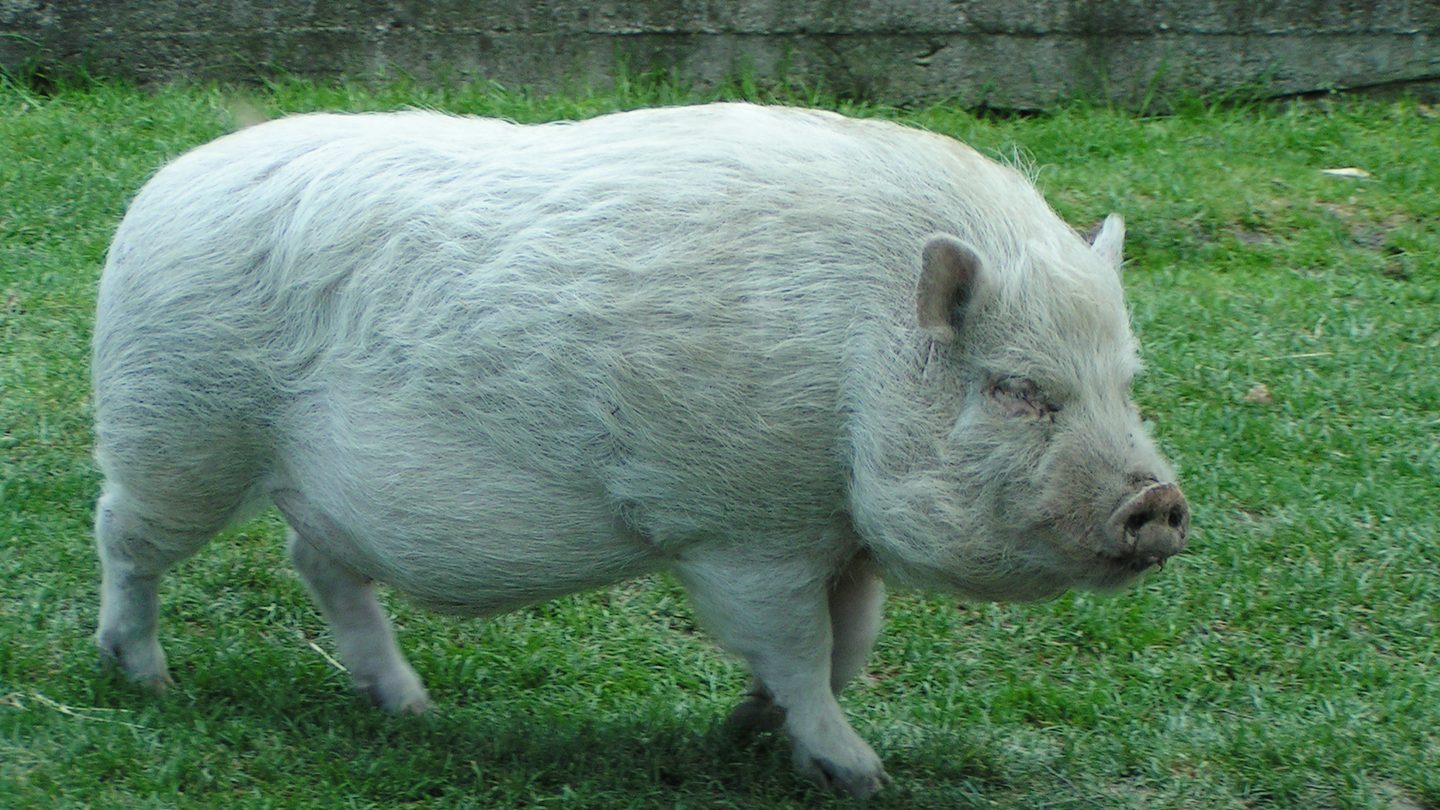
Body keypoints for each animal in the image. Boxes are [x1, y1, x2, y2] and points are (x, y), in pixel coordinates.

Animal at [92, 102, 1188, 797]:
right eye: (1016, 389)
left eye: (1125, 382)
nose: (1162, 504)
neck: (856, 362)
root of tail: (157, 191)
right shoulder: (743, 525)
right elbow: (801, 651)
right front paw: (861, 773)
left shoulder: (834, 530)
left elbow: (849, 647)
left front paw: (746, 731)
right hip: (177, 434)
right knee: (121, 535)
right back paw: (144, 679)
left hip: (299, 483)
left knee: (317, 563)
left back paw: (412, 710)